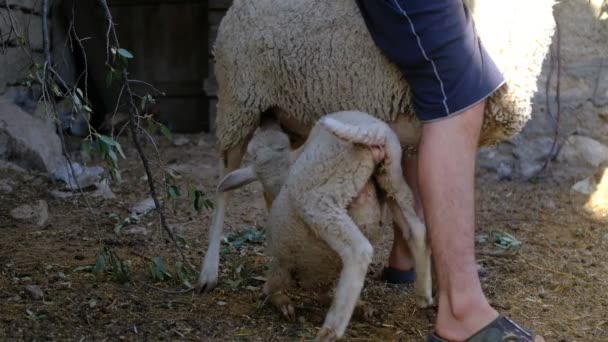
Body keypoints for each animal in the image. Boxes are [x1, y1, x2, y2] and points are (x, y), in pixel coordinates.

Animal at [196, 0, 556, 292]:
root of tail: (235, 8)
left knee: (268, 183)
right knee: (223, 185)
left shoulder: (413, 135)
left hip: (281, 117)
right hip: (237, 105)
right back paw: (208, 272)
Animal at [218, 111, 432, 340]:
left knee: (359, 250)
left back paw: (331, 330)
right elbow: (324, 290)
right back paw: (423, 295)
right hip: (392, 178)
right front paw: (361, 306)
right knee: (417, 230)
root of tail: (373, 131)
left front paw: (282, 304)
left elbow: (271, 289)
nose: (268, 118)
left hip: (322, 199)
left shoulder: (282, 263)